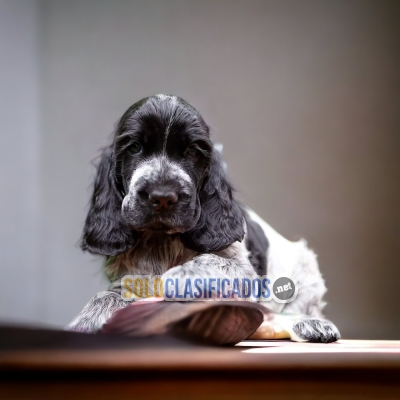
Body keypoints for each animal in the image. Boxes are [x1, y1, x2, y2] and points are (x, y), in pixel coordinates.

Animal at [66, 94, 340, 344]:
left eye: (191, 151)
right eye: (134, 148)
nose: (162, 197)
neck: (161, 240)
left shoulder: (243, 271)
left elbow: (212, 260)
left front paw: (180, 276)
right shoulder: (127, 278)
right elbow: (111, 294)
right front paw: (87, 320)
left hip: (306, 270)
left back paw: (311, 324)